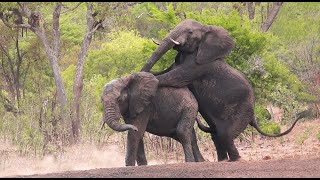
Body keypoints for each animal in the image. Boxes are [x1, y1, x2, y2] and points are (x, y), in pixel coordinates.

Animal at [142, 18, 304, 162]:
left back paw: (235, 160)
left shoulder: (200, 66)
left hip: (241, 112)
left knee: (225, 135)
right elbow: (165, 71)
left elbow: (173, 77)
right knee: (217, 136)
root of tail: (253, 117)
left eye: (190, 32)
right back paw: (223, 160)